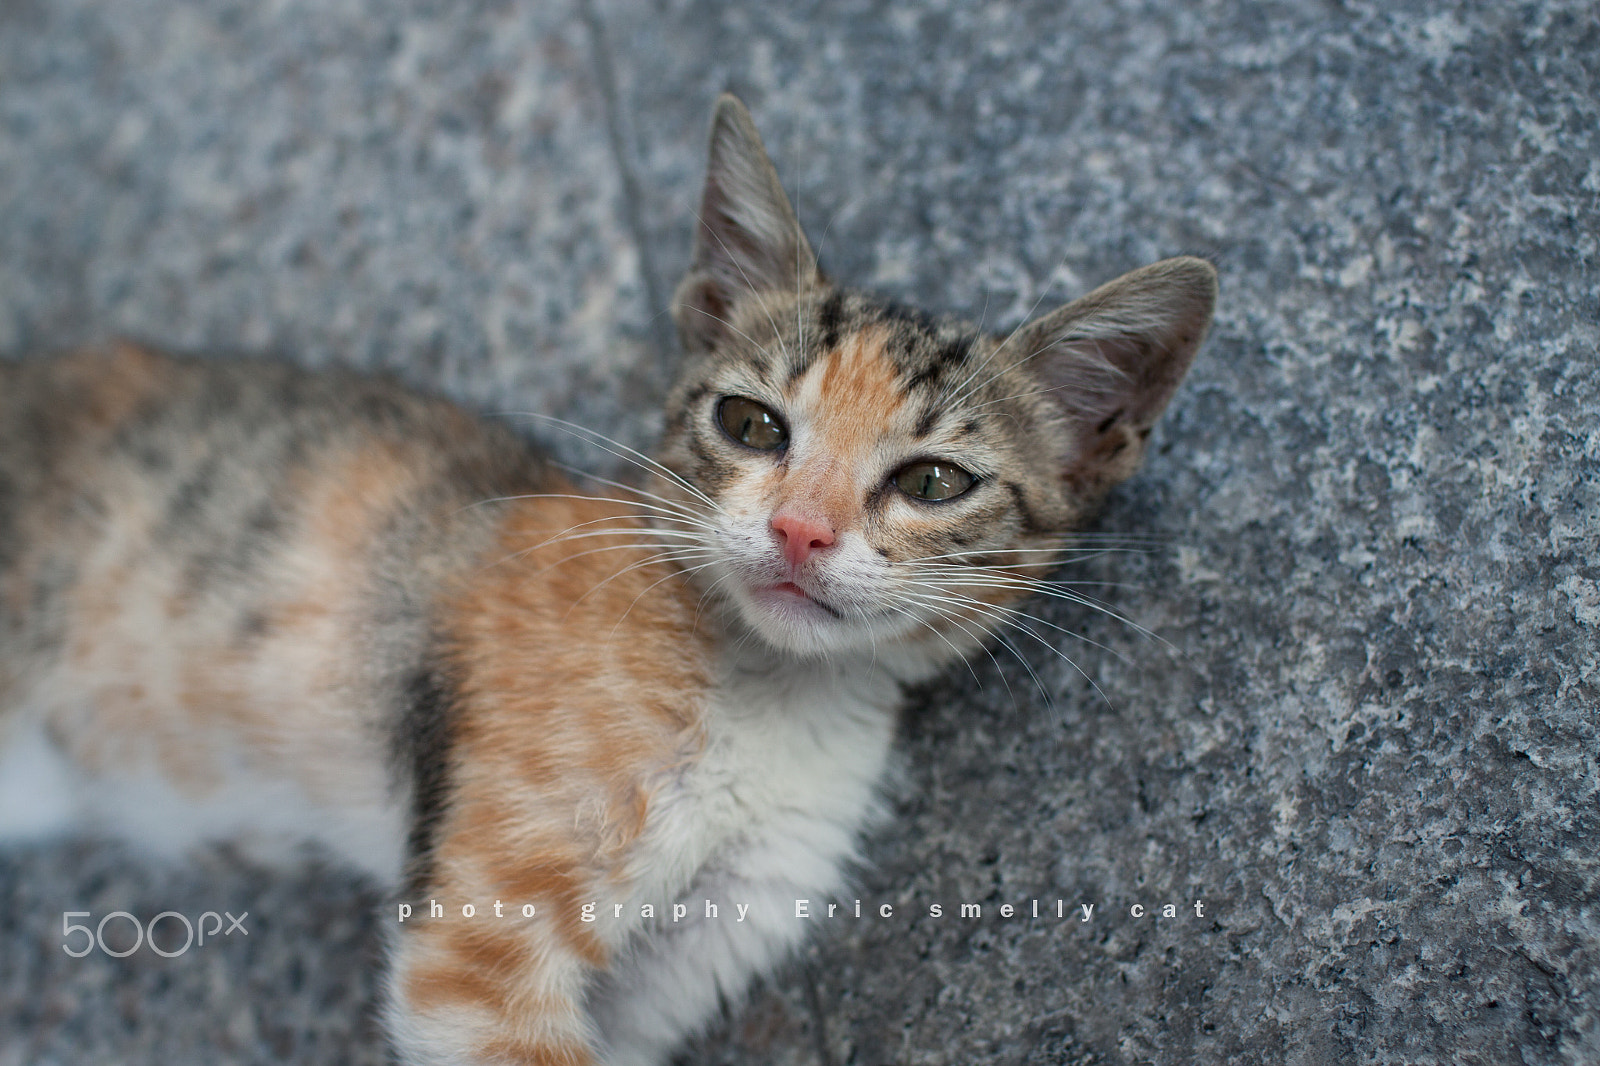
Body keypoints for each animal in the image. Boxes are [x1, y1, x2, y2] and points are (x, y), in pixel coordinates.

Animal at [0, 95, 1209, 1056]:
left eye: (934, 481)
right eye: (750, 423)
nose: (801, 532)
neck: (770, 700)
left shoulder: (716, 921)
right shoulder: (478, 948)